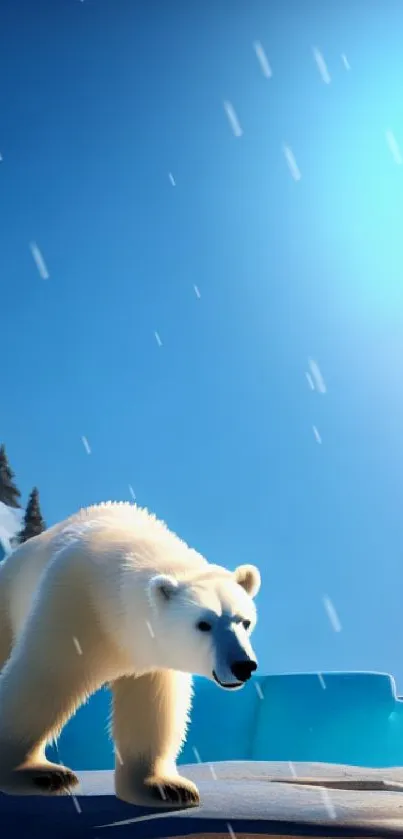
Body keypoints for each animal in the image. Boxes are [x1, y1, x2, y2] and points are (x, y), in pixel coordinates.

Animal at [0, 502, 260, 812]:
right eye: (204, 624)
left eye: (245, 621)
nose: (243, 665)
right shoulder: (73, 604)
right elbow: (45, 676)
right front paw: (36, 773)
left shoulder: (150, 656)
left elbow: (153, 706)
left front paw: (165, 787)